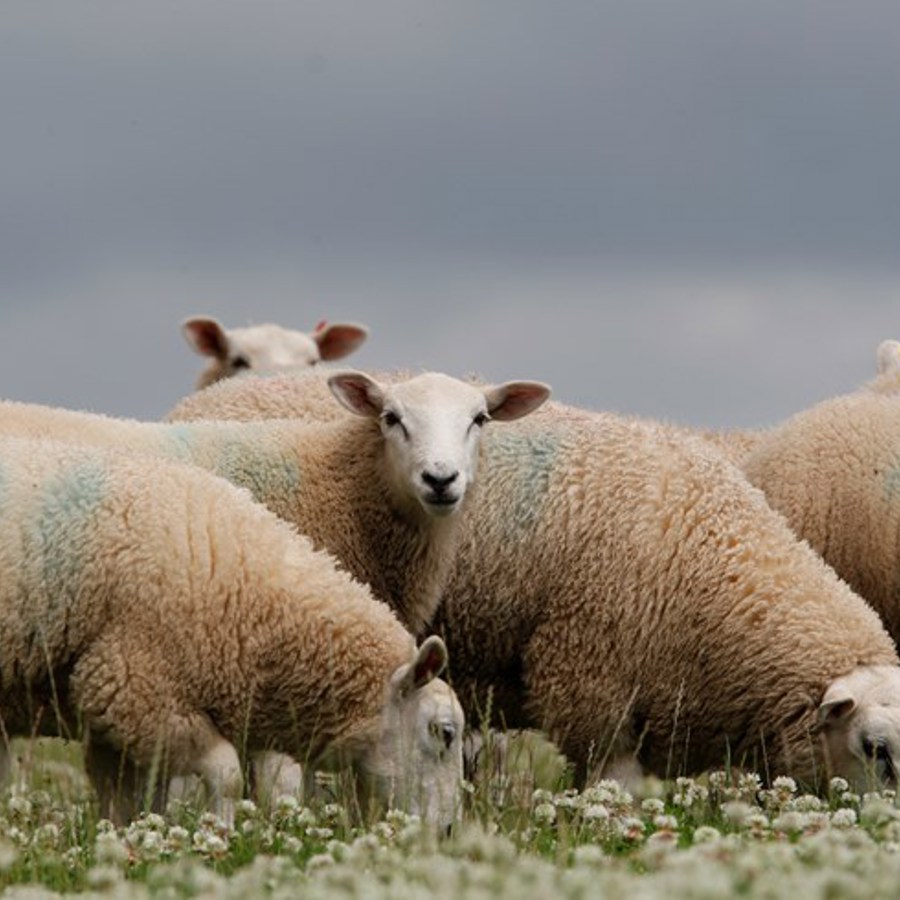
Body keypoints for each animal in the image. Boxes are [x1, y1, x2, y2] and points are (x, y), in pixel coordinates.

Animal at [0, 436, 464, 827]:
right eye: (444, 733)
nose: (445, 831)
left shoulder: (112, 713)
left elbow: (127, 805)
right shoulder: (136, 686)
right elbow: (225, 775)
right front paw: (219, 835)